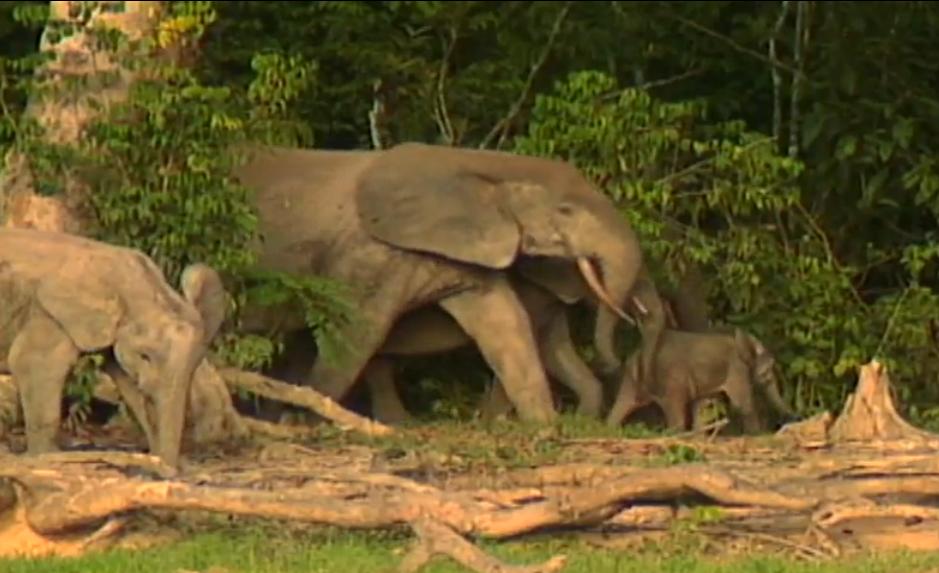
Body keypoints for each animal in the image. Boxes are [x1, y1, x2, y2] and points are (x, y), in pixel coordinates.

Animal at [0, 228, 226, 467]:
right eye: (145, 356)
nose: (167, 467)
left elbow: (129, 386)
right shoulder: (50, 315)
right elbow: (34, 364)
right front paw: (44, 457)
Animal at [232, 142, 649, 424]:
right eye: (566, 210)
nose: (618, 359)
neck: (482, 163)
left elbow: (505, 322)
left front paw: (545, 428)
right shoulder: (370, 252)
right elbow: (357, 332)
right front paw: (304, 420)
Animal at [605, 326, 798, 433]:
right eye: (767, 372)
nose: (796, 417)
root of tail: (637, 354)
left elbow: (703, 406)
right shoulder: (736, 369)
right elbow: (743, 404)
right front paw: (758, 434)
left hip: (632, 379)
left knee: (624, 404)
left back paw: (610, 429)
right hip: (673, 379)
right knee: (675, 407)